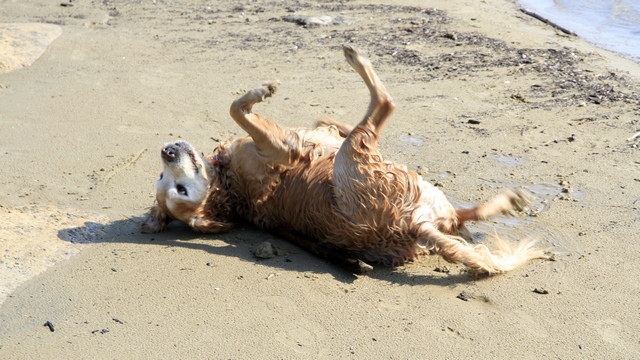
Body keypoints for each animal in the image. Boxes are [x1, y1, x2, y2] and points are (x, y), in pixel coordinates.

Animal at [144, 46, 544, 274]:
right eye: (177, 189)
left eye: (166, 182)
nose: (166, 151)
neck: (228, 184)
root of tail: (410, 225)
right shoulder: (278, 147)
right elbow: (235, 107)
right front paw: (262, 91)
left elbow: (323, 121)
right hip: (360, 157)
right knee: (384, 104)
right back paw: (356, 59)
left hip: (418, 192)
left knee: (462, 216)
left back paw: (507, 201)